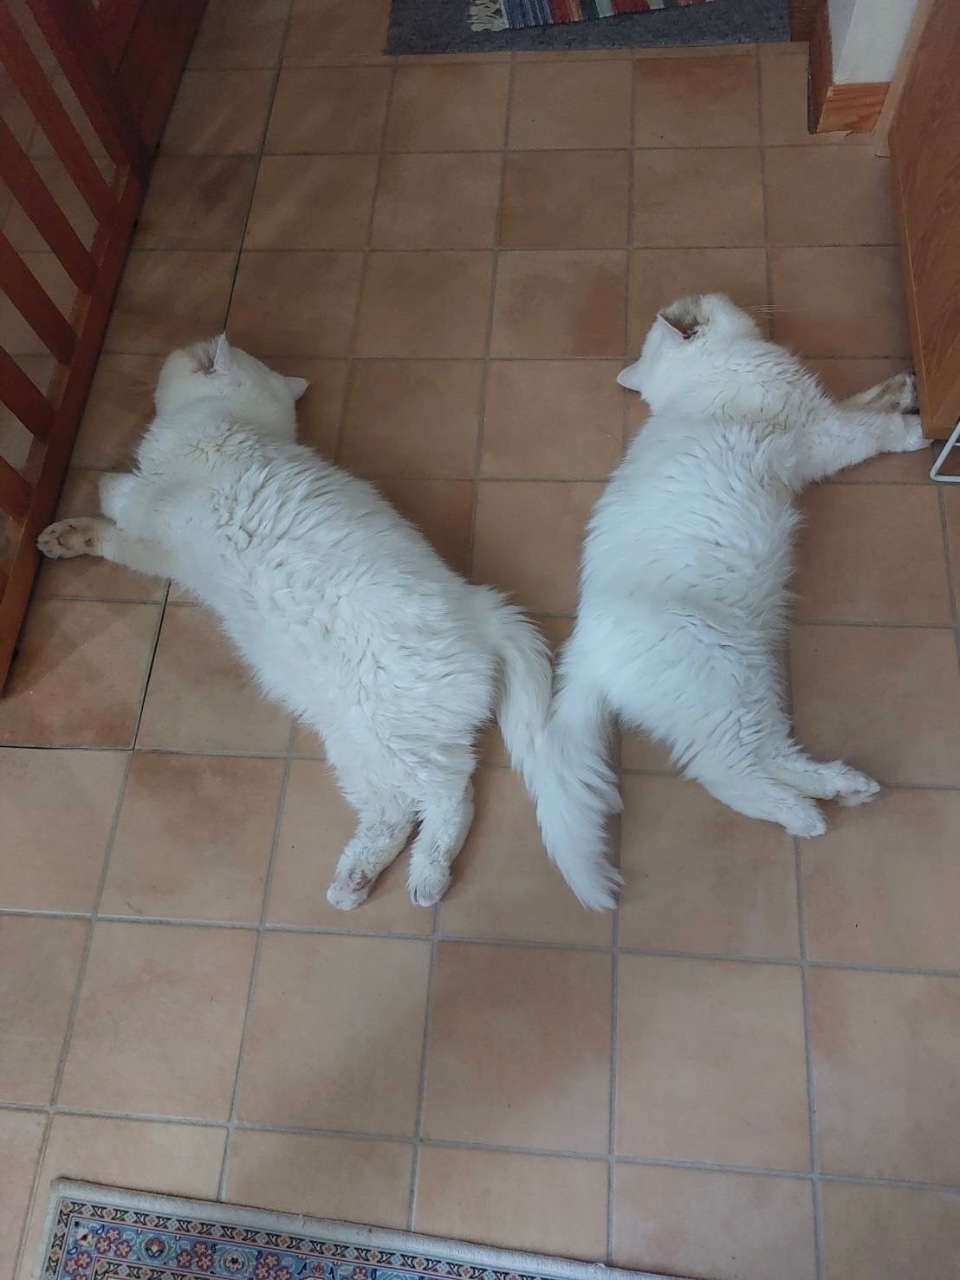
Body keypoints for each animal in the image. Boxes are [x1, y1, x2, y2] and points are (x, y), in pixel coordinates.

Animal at [38, 336, 553, 910]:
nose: (183, 347)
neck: (243, 421)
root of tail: (480, 607)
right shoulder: (165, 554)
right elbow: (114, 541)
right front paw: (66, 535)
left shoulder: (157, 507)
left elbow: (124, 497)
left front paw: (103, 481)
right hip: (355, 741)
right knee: (394, 811)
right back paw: (353, 880)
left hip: (395, 736)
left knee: (451, 796)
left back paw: (427, 877)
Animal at [527, 293, 929, 910]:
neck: (699, 377)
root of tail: (585, 651)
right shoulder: (822, 432)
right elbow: (872, 428)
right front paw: (921, 428)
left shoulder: (821, 420)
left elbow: (866, 400)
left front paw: (907, 387)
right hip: (726, 685)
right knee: (729, 776)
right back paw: (808, 816)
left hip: (750, 686)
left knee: (774, 757)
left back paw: (844, 787)